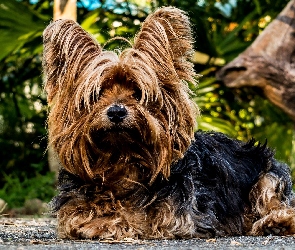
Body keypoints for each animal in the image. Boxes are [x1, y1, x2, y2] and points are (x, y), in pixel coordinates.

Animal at [42, 6, 295, 239]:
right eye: (98, 94)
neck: (122, 159)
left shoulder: (175, 218)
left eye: (138, 92)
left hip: (269, 175)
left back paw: (275, 222)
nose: (116, 112)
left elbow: (135, 217)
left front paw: (106, 222)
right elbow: (77, 217)